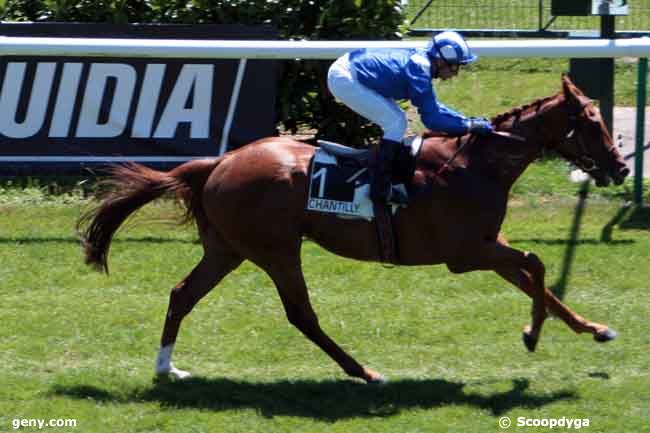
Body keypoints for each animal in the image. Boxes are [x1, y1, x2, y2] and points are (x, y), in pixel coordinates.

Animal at [77, 76, 628, 384]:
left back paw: (166, 368)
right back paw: (364, 372)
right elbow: (536, 265)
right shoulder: (468, 251)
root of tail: (219, 162)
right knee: (301, 314)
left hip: (228, 249)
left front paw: (592, 329)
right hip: (276, 248)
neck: (477, 163)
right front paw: (533, 335)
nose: (621, 168)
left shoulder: (488, 245)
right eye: (592, 122)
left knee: (182, 294)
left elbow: (538, 281)